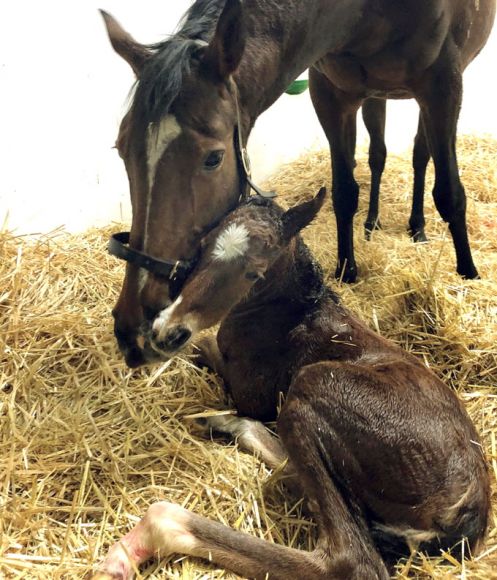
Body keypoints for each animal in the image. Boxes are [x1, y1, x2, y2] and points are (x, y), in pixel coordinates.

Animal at [92, 188, 488, 576]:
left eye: (254, 273)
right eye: (203, 246)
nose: (167, 332)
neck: (289, 313)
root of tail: (466, 518)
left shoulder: (248, 392)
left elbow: (202, 347)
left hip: (315, 381)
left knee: (349, 558)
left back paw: (136, 544)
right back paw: (219, 423)